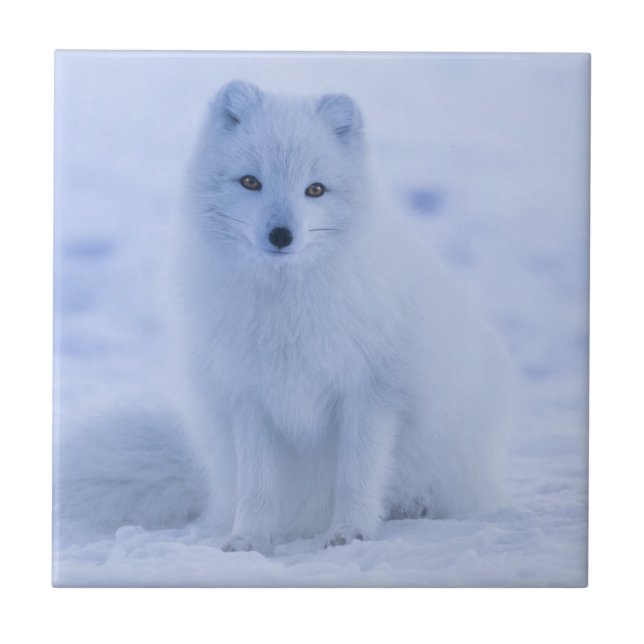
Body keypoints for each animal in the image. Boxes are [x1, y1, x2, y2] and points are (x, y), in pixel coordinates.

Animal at [57, 81, 514, 555]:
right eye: (250, 182)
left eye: (315, 189)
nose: (281, 235)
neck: (286, 307)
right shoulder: (249, 396)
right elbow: (257, 484)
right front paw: (249, 539)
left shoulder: (371, 392)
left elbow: (356, 474)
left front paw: (351, 533)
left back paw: (413, 506)